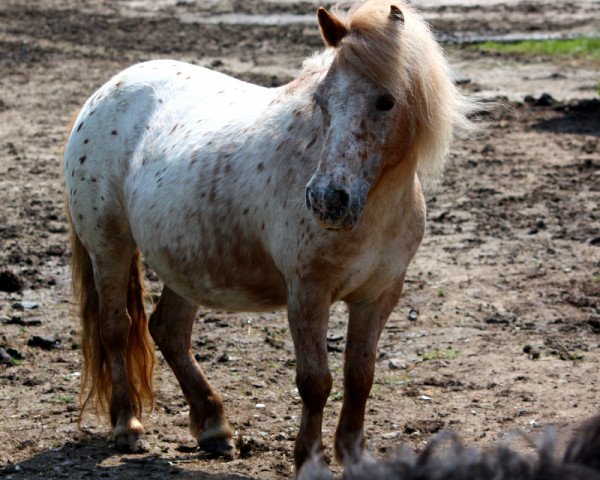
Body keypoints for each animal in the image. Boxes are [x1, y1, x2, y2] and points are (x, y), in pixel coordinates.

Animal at [62, 0, 474, 472]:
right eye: (322, 100)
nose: (326, 200)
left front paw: (353, 454)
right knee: (117, 327)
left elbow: (360, 376)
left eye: (386, 101)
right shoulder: (307, 293)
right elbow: (315, 380)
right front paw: (309, 460)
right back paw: (127, 425)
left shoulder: (380, 295)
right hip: (108, 246)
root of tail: (107, 90)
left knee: (168, 330)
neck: (377, 209)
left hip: (186, 263)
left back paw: (214, 427)